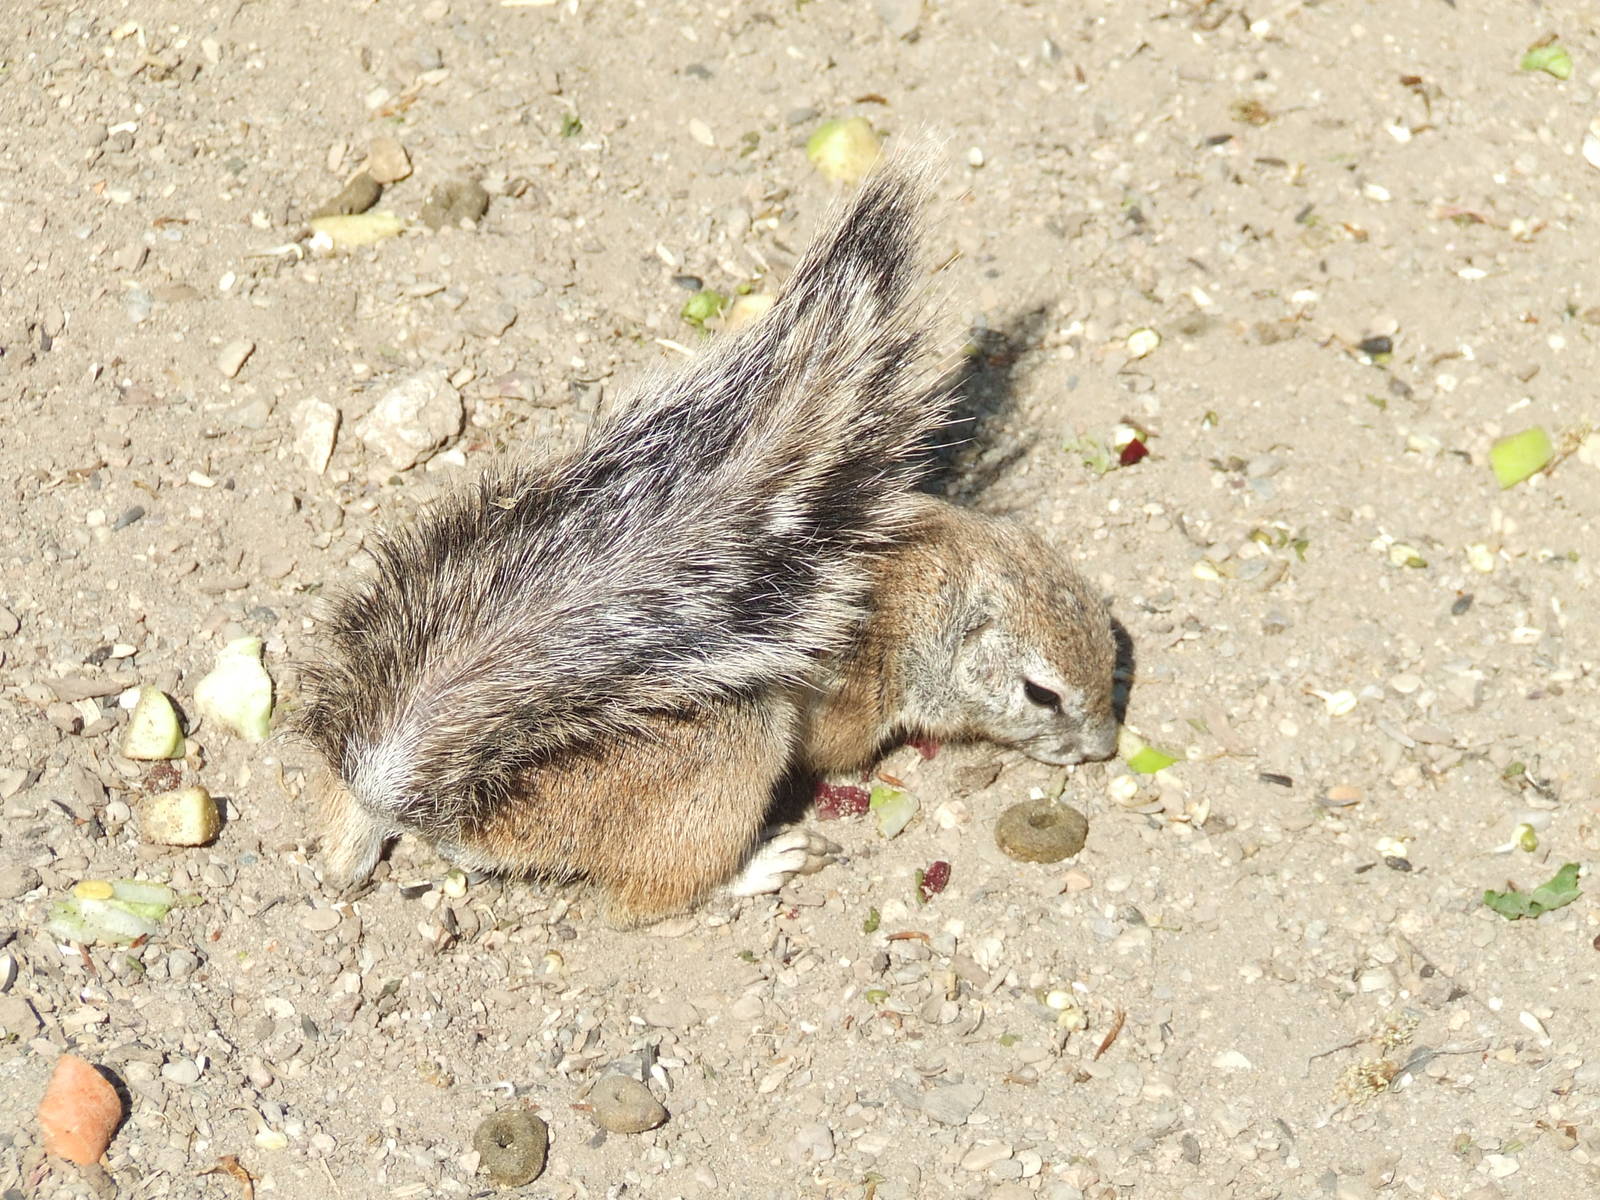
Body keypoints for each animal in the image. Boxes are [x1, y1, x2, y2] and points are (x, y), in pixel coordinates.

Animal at [294, 149, 1119, 928]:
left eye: (1112, 646)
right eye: (1041, 693)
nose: (1106, 747)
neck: (935, 591)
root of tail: (469, 811)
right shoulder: (859, 694)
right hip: (732, 750)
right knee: (651, 899)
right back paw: (761, 867)